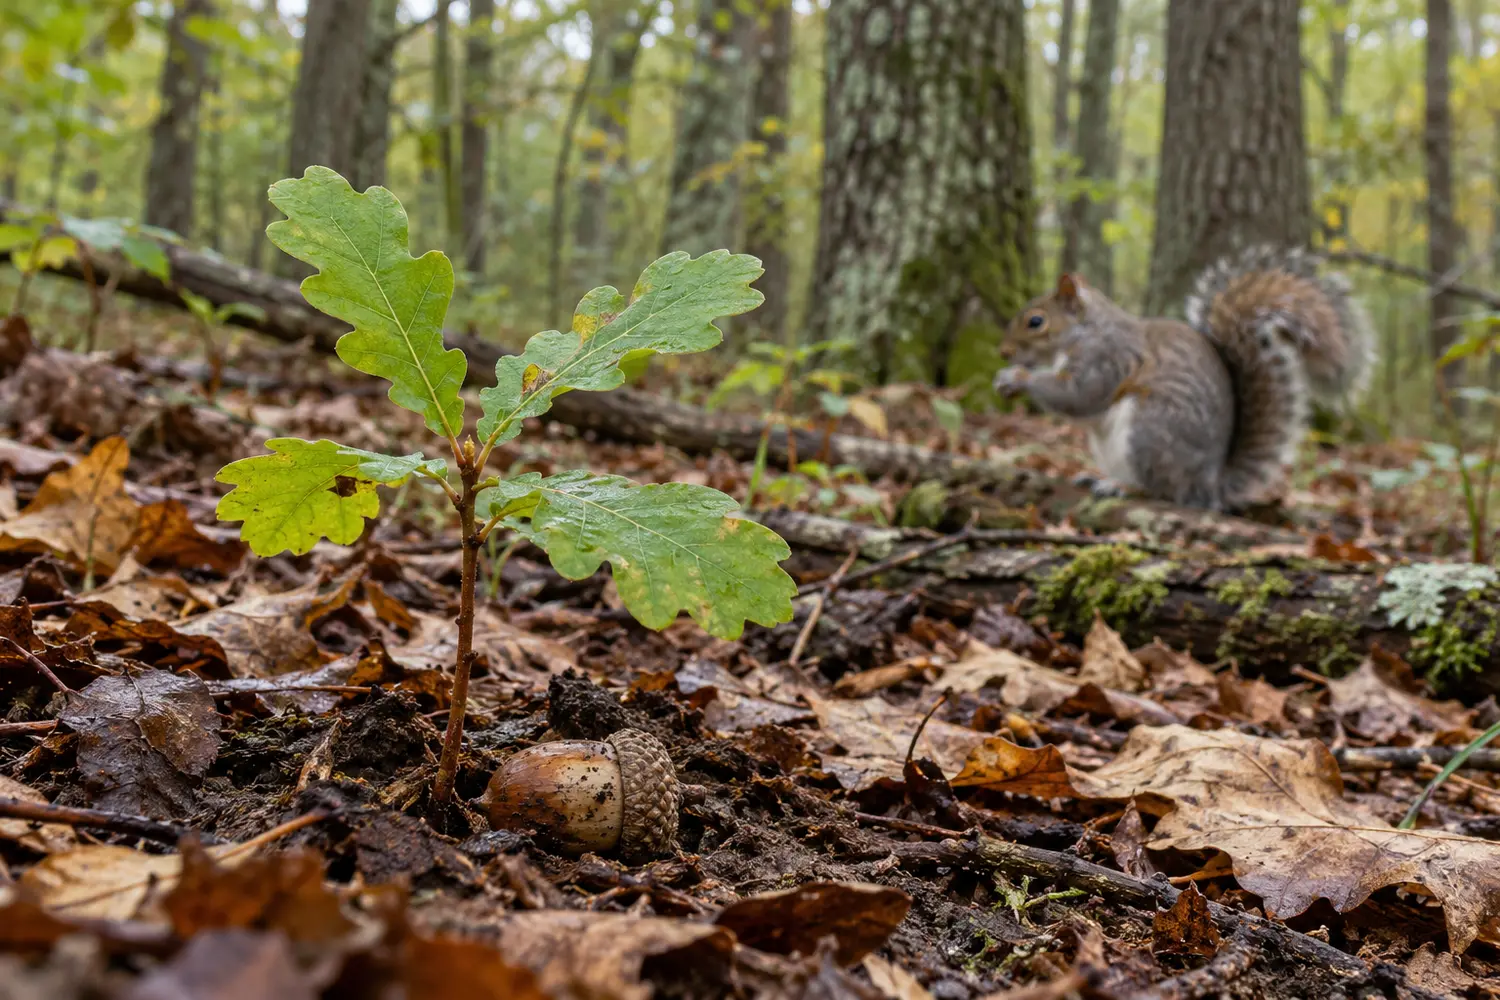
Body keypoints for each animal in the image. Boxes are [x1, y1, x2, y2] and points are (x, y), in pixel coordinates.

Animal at [992, 246, 1374, 511]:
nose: (1003, 352)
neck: (1084, 331)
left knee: (1164, 491)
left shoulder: (1107, 359)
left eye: (1036, 321)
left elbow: (1080, 394)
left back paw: (1124, 487)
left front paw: (1018, 377)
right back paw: (1100, 477)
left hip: (1148, 431)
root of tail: (1208, 484)